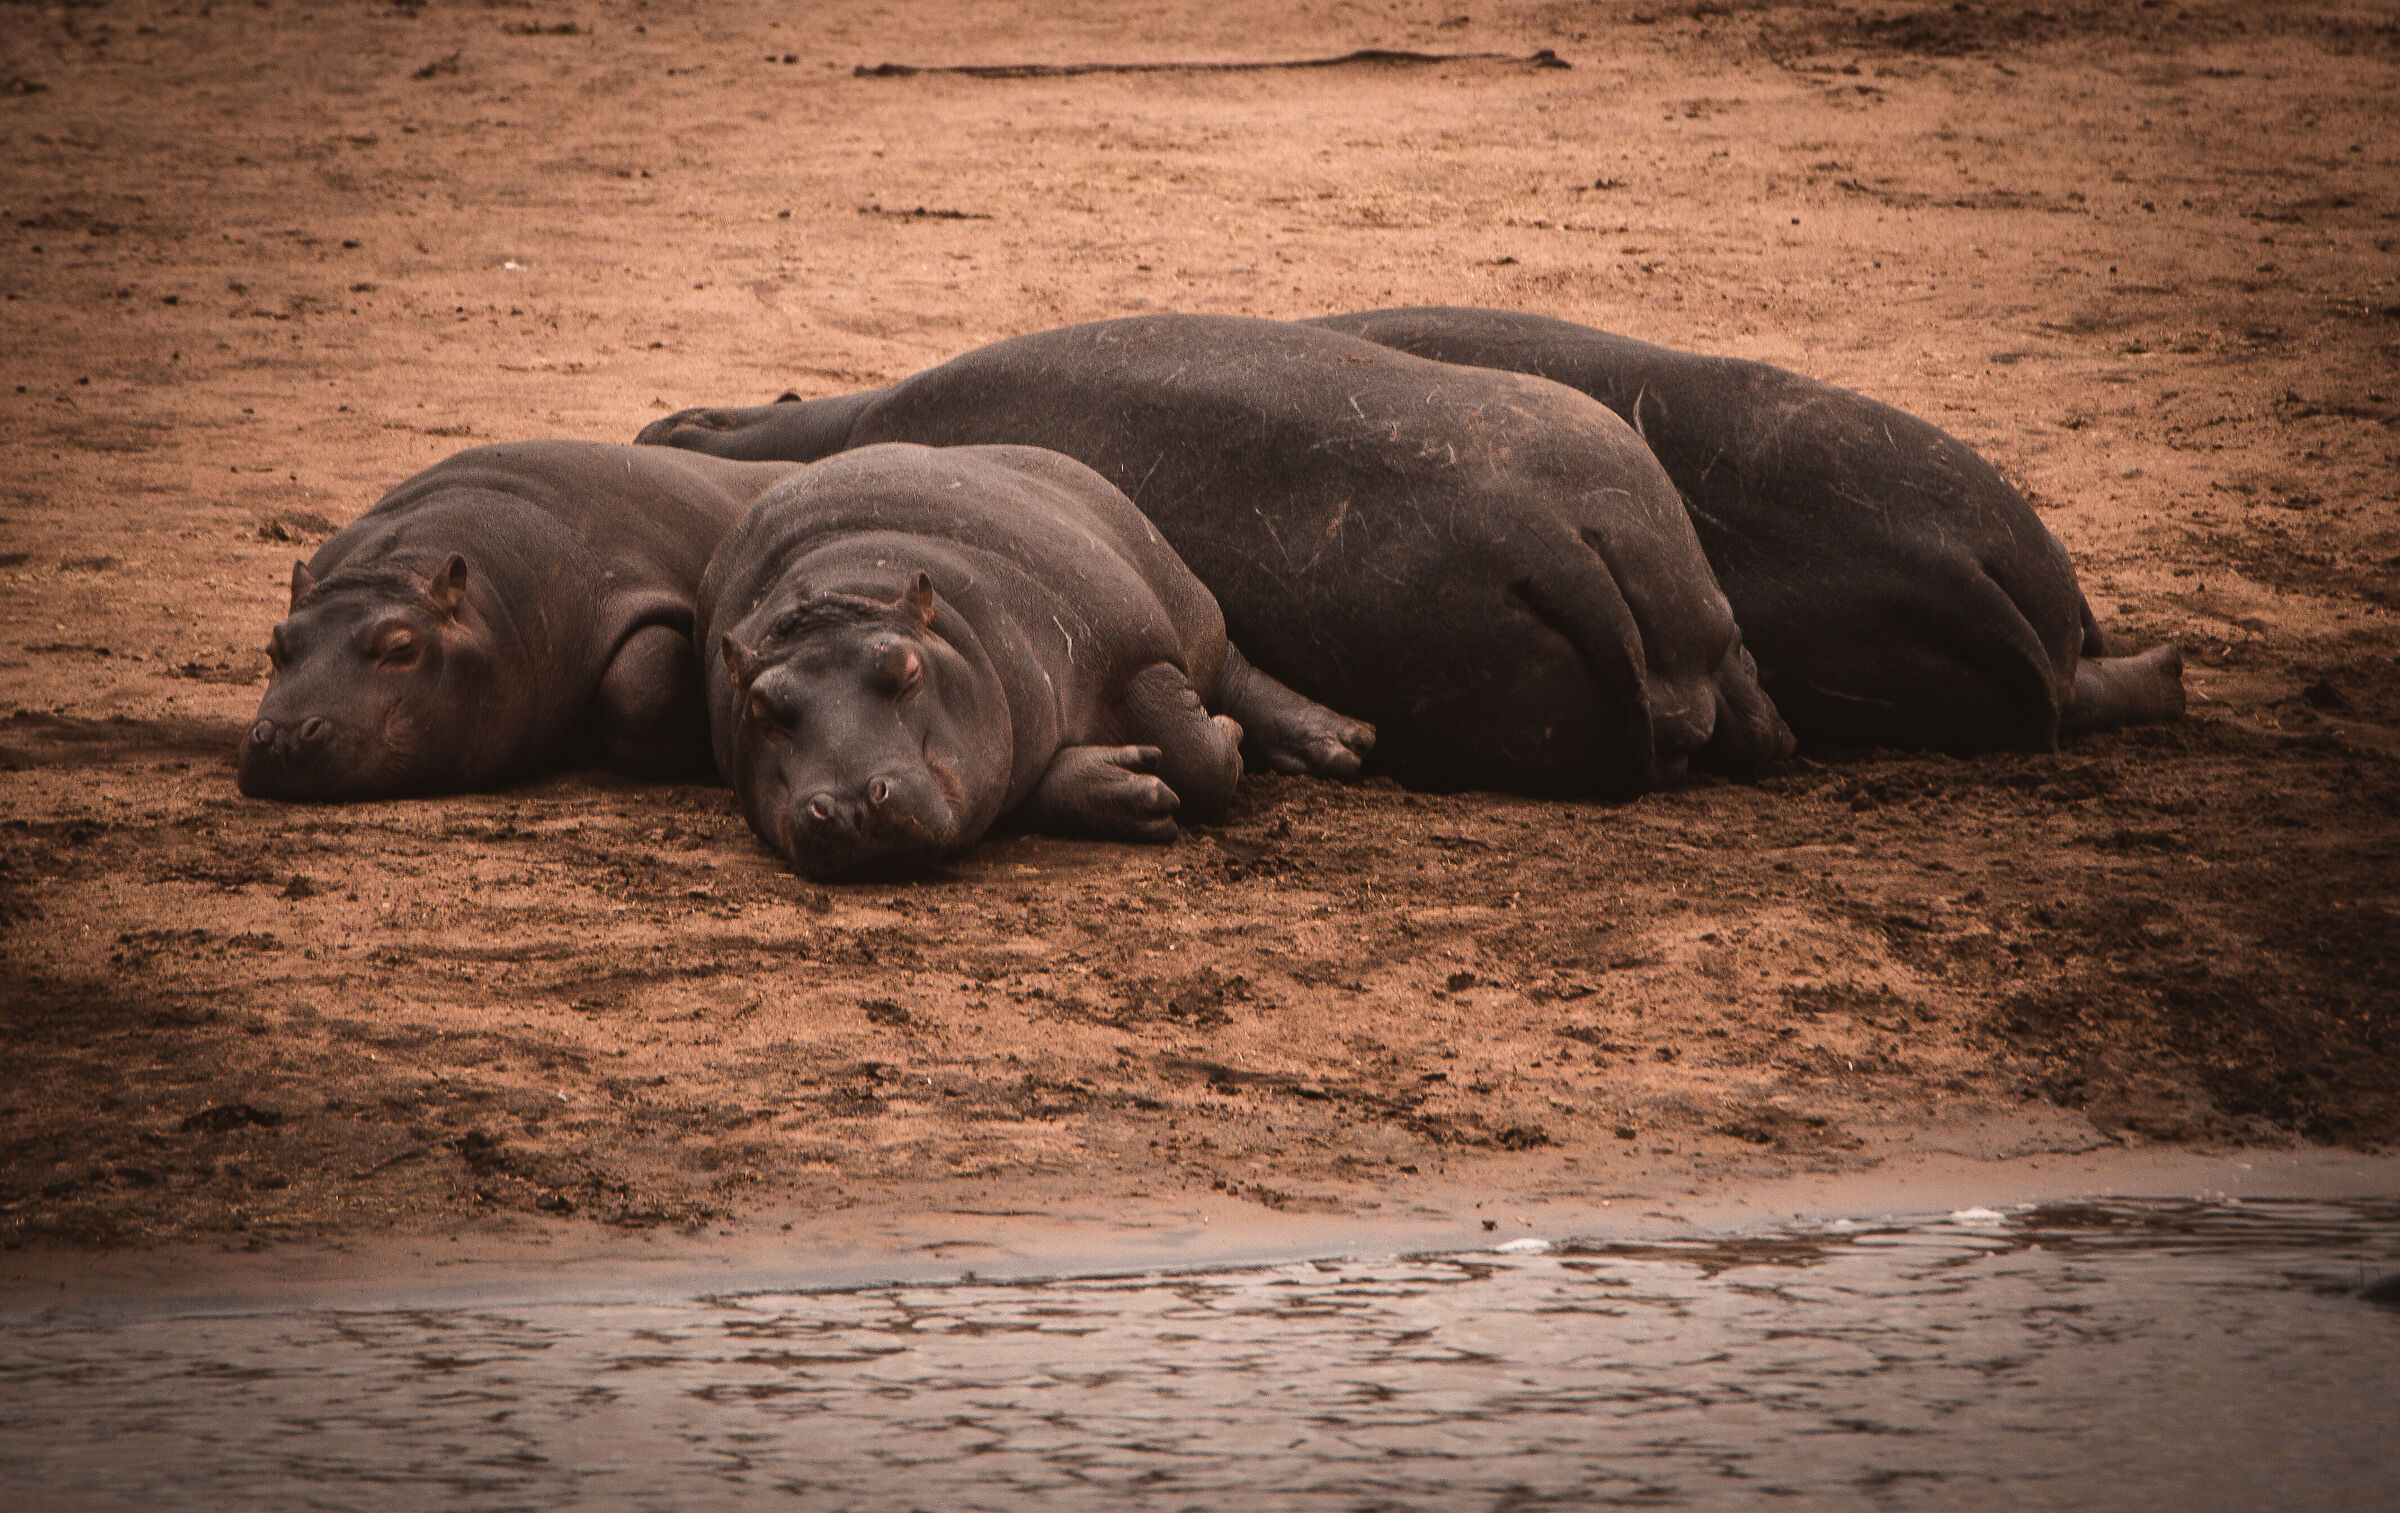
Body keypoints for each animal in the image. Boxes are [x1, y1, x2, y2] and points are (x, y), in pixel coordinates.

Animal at [697, 442, 1372, 879]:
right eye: (763, 710)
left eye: (906, 670)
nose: (848, 805)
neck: (845, 590)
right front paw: (1134, 789)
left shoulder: (1134, 651)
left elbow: (1202, 759)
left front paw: (1224, 738)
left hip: (1186, 603)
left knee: (1237, 671)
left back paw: (1342, 744)